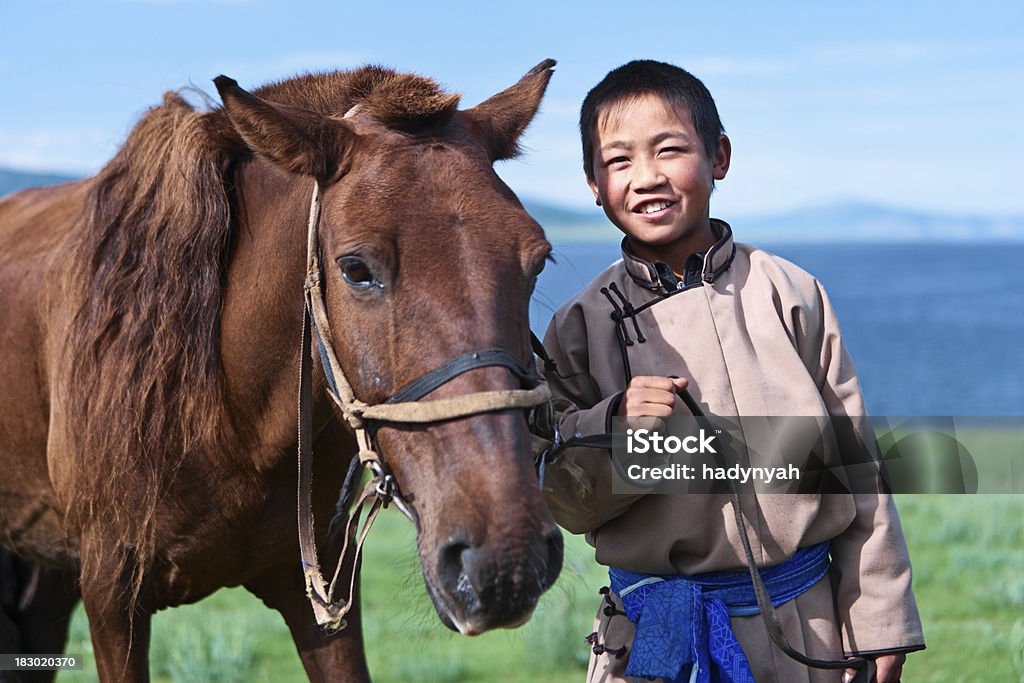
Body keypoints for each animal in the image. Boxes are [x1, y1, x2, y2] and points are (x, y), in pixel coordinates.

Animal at [0, 61, 561, 679]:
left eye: (539, 261)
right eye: (355, 268)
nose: (505, 560)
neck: (225, 419)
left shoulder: (320, 591)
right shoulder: (111, 597)